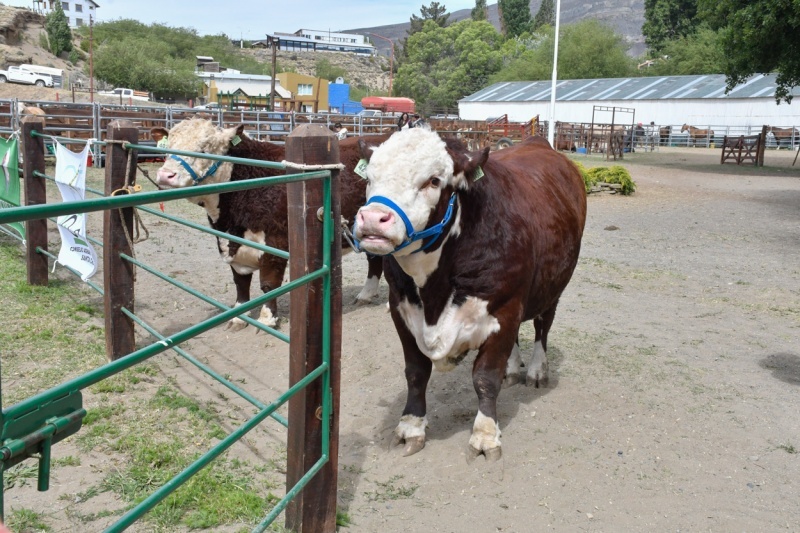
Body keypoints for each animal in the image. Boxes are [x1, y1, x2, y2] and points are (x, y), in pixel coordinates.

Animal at [157, 118, 388, 330]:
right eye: (167, 147)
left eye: (204, 148)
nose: (165, 176)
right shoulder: (231, 243)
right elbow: (240, 283)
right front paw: (238, 317)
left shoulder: (276, 240)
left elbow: (269, 283)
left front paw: (267, 318)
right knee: (375, 259)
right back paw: (365, 295)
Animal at [354, 127, 584, 460]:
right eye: (370, 177)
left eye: (433, 180)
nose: (373, 219)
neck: (433, 291)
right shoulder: (400, 309)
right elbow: (416, 372)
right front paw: (411, 427)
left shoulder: (505, 307)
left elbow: (485, 377)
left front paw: (485, 435)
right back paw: (513, 368)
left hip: (552, 286)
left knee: (543, 325)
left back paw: (537, 370)